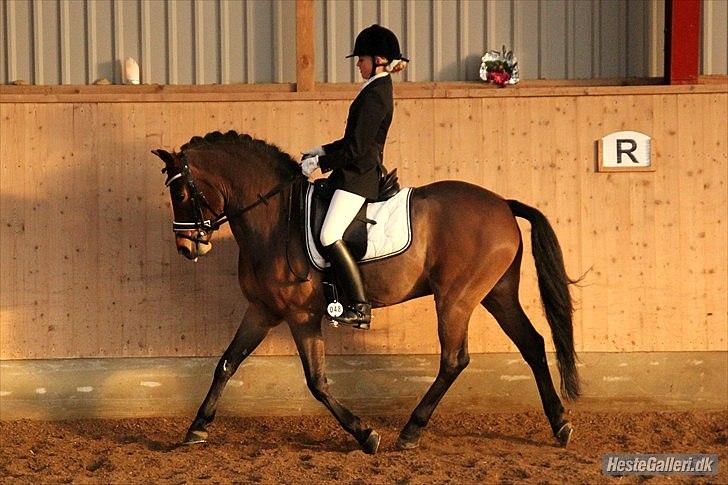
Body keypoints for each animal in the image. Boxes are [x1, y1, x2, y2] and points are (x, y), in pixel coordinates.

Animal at [151, 130, 580, 454]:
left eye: (182, 194)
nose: (187, 247)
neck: (274, 220)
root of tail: (503, 204)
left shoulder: (300, 314)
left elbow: (316, 381)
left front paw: (366, 434)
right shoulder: (262, 310)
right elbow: (226, 363)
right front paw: (197, 428)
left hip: (456, 299)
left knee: (454, 360)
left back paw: (411, 431)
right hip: (497, 294)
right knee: (532, 344)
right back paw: (559, 424)